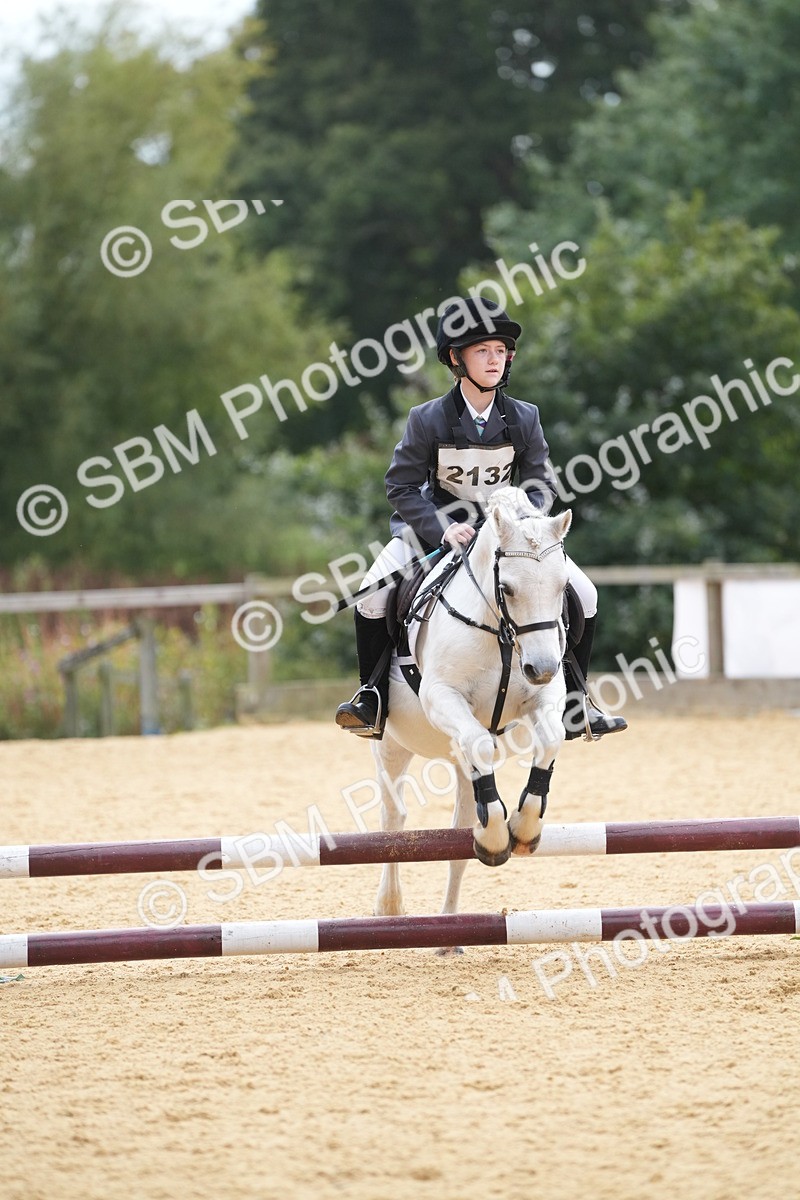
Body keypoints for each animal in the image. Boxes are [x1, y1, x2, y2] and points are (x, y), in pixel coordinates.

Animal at [372, 486, 572, 922]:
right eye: (508, 588)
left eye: (563, 586)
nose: (542, 668)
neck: (500, 631)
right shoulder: (441, 697)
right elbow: (481, 741)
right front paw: (498, 837)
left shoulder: (544, 696)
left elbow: (551, 738)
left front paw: (523, 828)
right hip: (392, 745)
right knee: (393, 819)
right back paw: (390, 906)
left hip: (459, 763)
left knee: (461, 831)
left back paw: (451, 924)